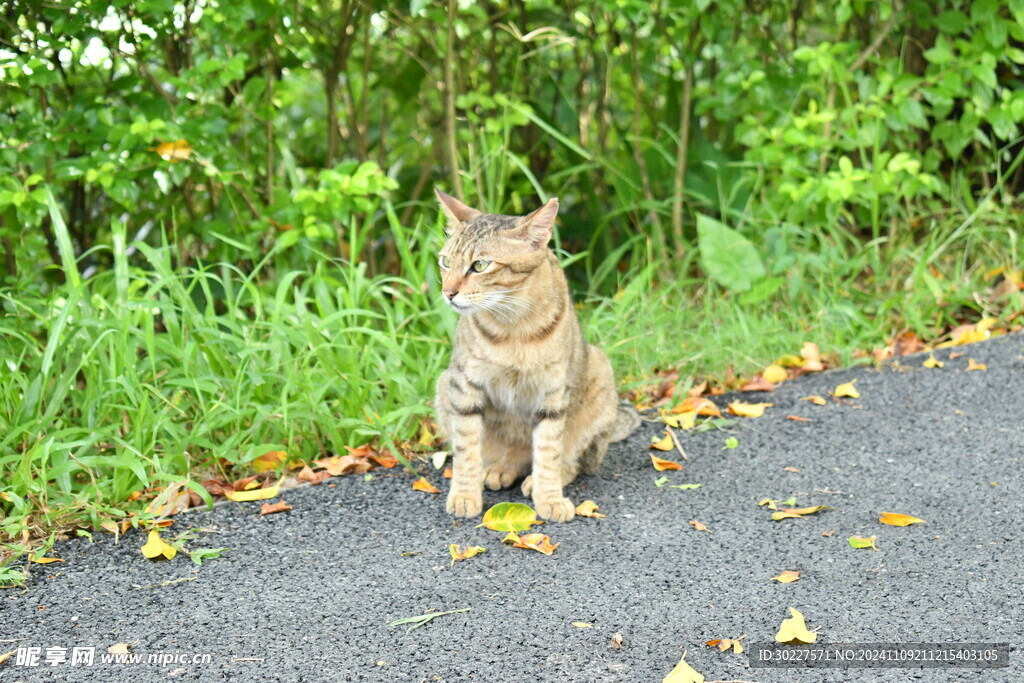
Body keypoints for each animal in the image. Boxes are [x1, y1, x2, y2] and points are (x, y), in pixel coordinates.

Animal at [432, 189, 638, 520]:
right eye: (445, 262)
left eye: (480, 265)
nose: (447, 293)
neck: (513, 327)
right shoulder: (464, 387)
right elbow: (465, 449)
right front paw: (464, 495)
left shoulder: (552, 394)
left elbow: (549, 450)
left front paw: (549, 497)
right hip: (443, 386)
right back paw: (497, 469)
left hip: (600, 375)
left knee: (572, 461)